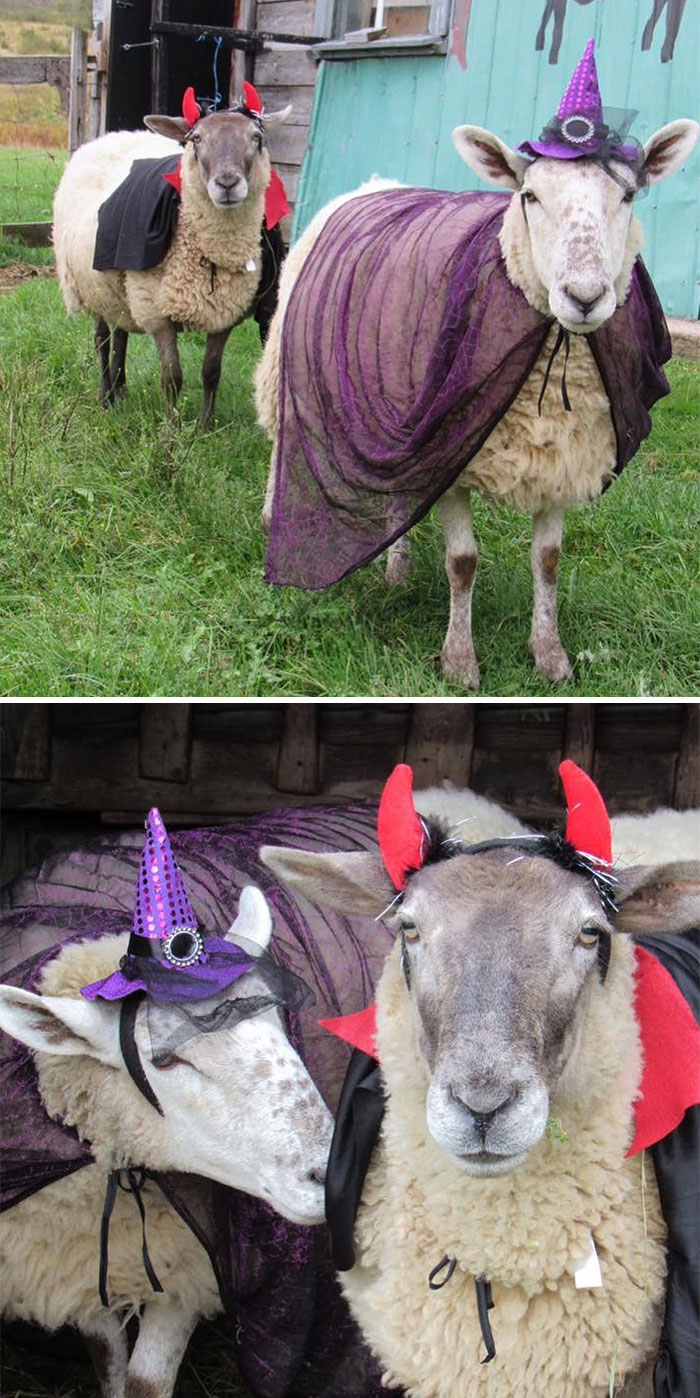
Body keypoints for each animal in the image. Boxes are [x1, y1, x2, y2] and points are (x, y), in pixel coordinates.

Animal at [0, 883, 331, 1398]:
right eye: (167, 1060)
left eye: (280, 1021)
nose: (332, 1175)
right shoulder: (85, 1262)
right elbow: (107, 1357)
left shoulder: (190, 1269)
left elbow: (146, 1381)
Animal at [52, 90, 289, 424]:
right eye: (197, 139)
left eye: (256, 138)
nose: (227, 184)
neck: (211, 251)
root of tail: (114, 134)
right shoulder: (156, 310)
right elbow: (172, 378)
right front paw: (172, 428)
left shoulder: (224, 313)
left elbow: (211, 372)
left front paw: (205, 425)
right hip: (90, 286)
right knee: (102, 340)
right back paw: (105, 397)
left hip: (119, 291)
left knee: (121, 336)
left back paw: (120, 390)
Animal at [254, 114, 695, 687]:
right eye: (529, 196)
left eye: (628, 195)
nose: (584, 297)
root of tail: (377, 183)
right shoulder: (454, 457)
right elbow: (462, 563)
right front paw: (460, 662)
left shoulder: (561, 453)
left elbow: (549, 559)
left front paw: (550, 656)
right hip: (292, 359)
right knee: (281, 435)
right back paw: (273, 517)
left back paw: (397, 568)